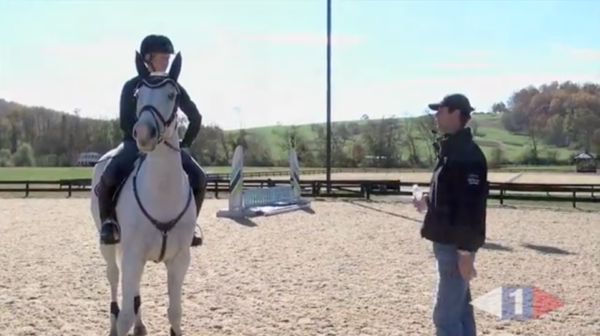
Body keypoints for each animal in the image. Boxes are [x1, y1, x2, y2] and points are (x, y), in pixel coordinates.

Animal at [90, 51, 197, 336]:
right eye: (138, 95)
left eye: (173, 95)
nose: (144, 134)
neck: (161, 191)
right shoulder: (132, 256)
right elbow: (125, 316)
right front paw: (122, 324)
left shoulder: (179, 260)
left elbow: (175, 312)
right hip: (109, 243)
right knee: (114, 277)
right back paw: (114, 320)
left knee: (135, 291)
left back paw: (140, 325)